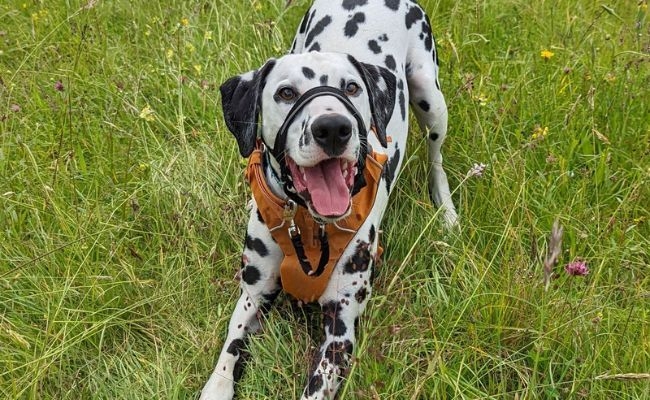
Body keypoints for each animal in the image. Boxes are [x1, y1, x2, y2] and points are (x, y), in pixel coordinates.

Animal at [201, 0, 456, 400]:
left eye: (351, 87)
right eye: (285, 93)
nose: (334, 128)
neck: (307, 223)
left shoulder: (340, 328)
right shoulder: (252, 298)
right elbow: (229, 352)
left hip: (429, 96)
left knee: (436, 158)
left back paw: (446, 211)